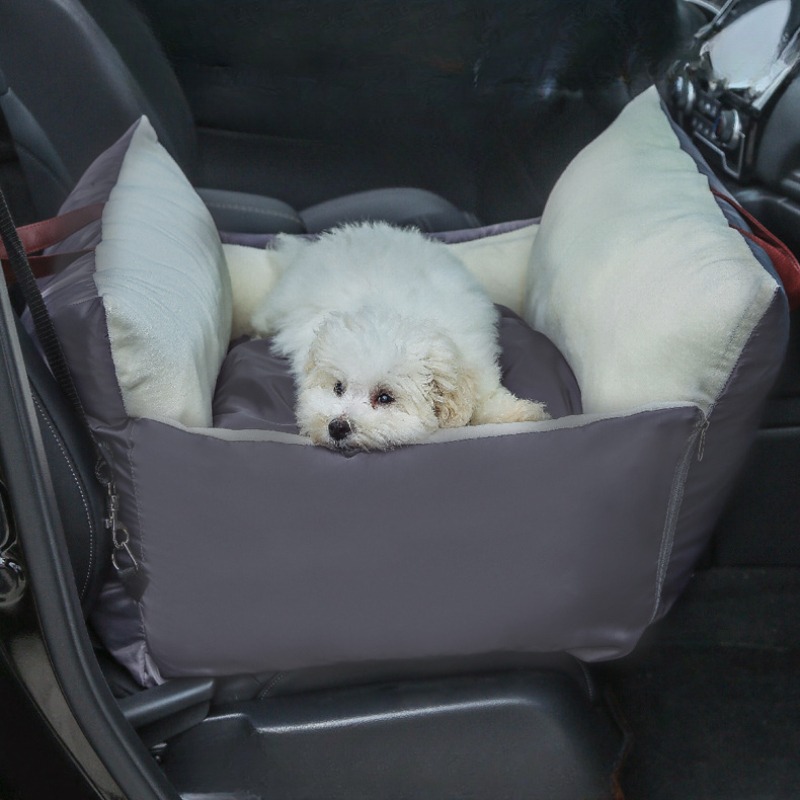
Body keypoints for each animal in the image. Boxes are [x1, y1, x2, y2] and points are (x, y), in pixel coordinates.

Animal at [250, 222, 552, 450]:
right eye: (338, 388)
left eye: (385, 398)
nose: (336, 427)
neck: (396, 312)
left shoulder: (477, 361)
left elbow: (487, 396)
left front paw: (520, 413)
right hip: (281, 305)